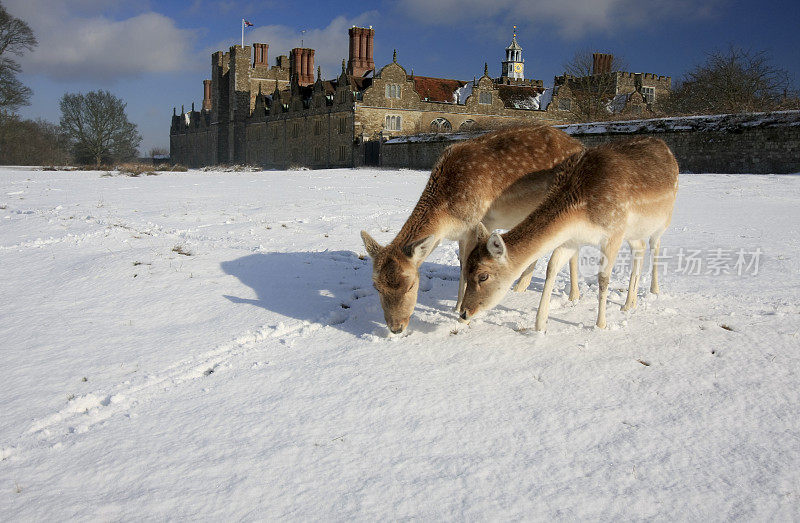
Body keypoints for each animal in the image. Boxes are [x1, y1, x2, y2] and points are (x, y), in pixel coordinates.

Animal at [360, 125, 580, 334]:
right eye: (376, 287)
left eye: (411, 285)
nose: (396, 327)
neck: (448, 217)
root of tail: (579, 145)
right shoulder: (460, 233)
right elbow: (462, 264)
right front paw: (457, 306)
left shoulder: (477, 224)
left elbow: (468, 263)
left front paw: (461, 314)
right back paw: (520, 287)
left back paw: (574, 295)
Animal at [460, 135, 680, 332]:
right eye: (467, 269)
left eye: (483, 276)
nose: (463, 312)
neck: (581, 213)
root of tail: (666, 147)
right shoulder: (571, 240)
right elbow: (552, 268)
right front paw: (540, 325)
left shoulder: (614, 232)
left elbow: (603, 278)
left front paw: (600, 324)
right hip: (633, 232)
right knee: (640, 248)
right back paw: (629, 303)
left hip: (664, 220)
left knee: (655, 246)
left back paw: (653, 290)